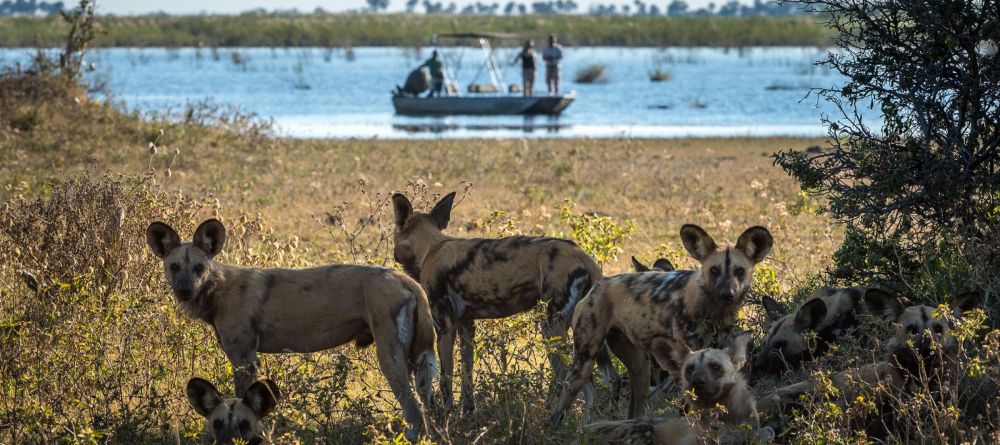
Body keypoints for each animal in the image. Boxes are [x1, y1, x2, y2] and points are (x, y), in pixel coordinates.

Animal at [146, 219, 436, 440]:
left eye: (199, 268)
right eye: (174, 267)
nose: (184, 291)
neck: (218, 289)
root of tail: (408, 280)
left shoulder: (244, 361)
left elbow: (241, 404)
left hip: (390, 358)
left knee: (413, 410)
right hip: (418, 361)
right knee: (430, 405)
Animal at [392, 193, 616, 412]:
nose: (393, 255)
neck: (431, 248)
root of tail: (585, 257)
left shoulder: (445, 328)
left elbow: (446, 379)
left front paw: (447, 414)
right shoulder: (466, 326)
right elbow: (467, 374)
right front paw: (468, 412)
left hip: (551, 326)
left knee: (564, 375)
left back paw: (550, 412)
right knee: (613, 379)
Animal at [548, 225, 772, 424]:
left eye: (739, 271)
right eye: (714, 270)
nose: (727, 294)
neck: (713, 310)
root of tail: (597, 285)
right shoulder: (687, 361)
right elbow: (685, 409)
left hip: (641, 369)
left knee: (633, 412)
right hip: (582, 365)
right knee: (559, 408)